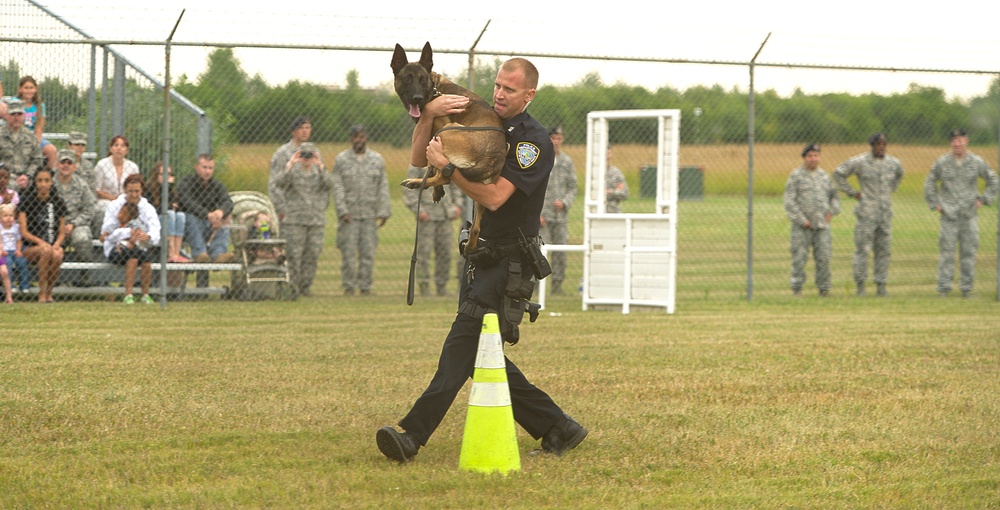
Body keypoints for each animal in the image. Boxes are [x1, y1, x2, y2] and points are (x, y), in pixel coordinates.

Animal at [388, 40, 504, 255]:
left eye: (422, 79)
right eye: (407, 79)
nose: (417, 98)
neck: (434, 90)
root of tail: (493, 157)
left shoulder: (438, 127)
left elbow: (432, 163)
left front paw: (430, 183)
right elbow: (432, 163)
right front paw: (435, 189)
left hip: (447, 131)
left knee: (446, 175)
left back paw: (416, 182)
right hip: (482, 196)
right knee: (476, 228)